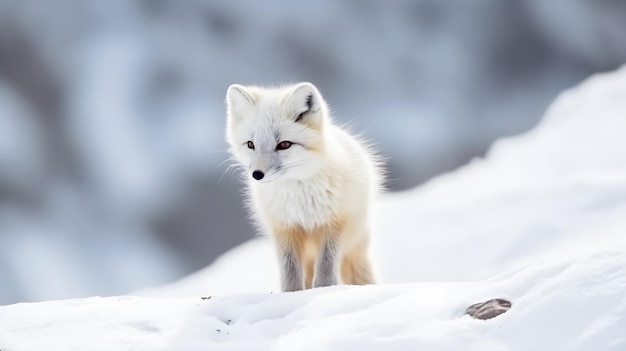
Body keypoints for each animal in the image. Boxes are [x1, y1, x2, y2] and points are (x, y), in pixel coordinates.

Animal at [224, 82, 380, 292]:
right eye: (250, 144)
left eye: (284, 145)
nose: (257, 174)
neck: (300, 197)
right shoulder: (285, 229)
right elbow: (289, 270)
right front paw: (291, 294)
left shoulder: (333, 225)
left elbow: (326, 266)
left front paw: (324, 289)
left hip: (354, 245)